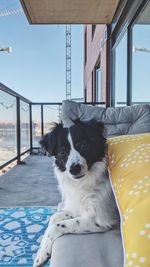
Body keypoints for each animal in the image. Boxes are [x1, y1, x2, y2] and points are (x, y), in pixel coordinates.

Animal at [33, 120, 119, 267]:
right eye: (62, 152)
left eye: (84, 146)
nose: (74, 169)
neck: (84, 182)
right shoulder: (76, 207)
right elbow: (53, 219)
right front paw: (41, 253)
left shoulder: (99, 220)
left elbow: (55, 226)